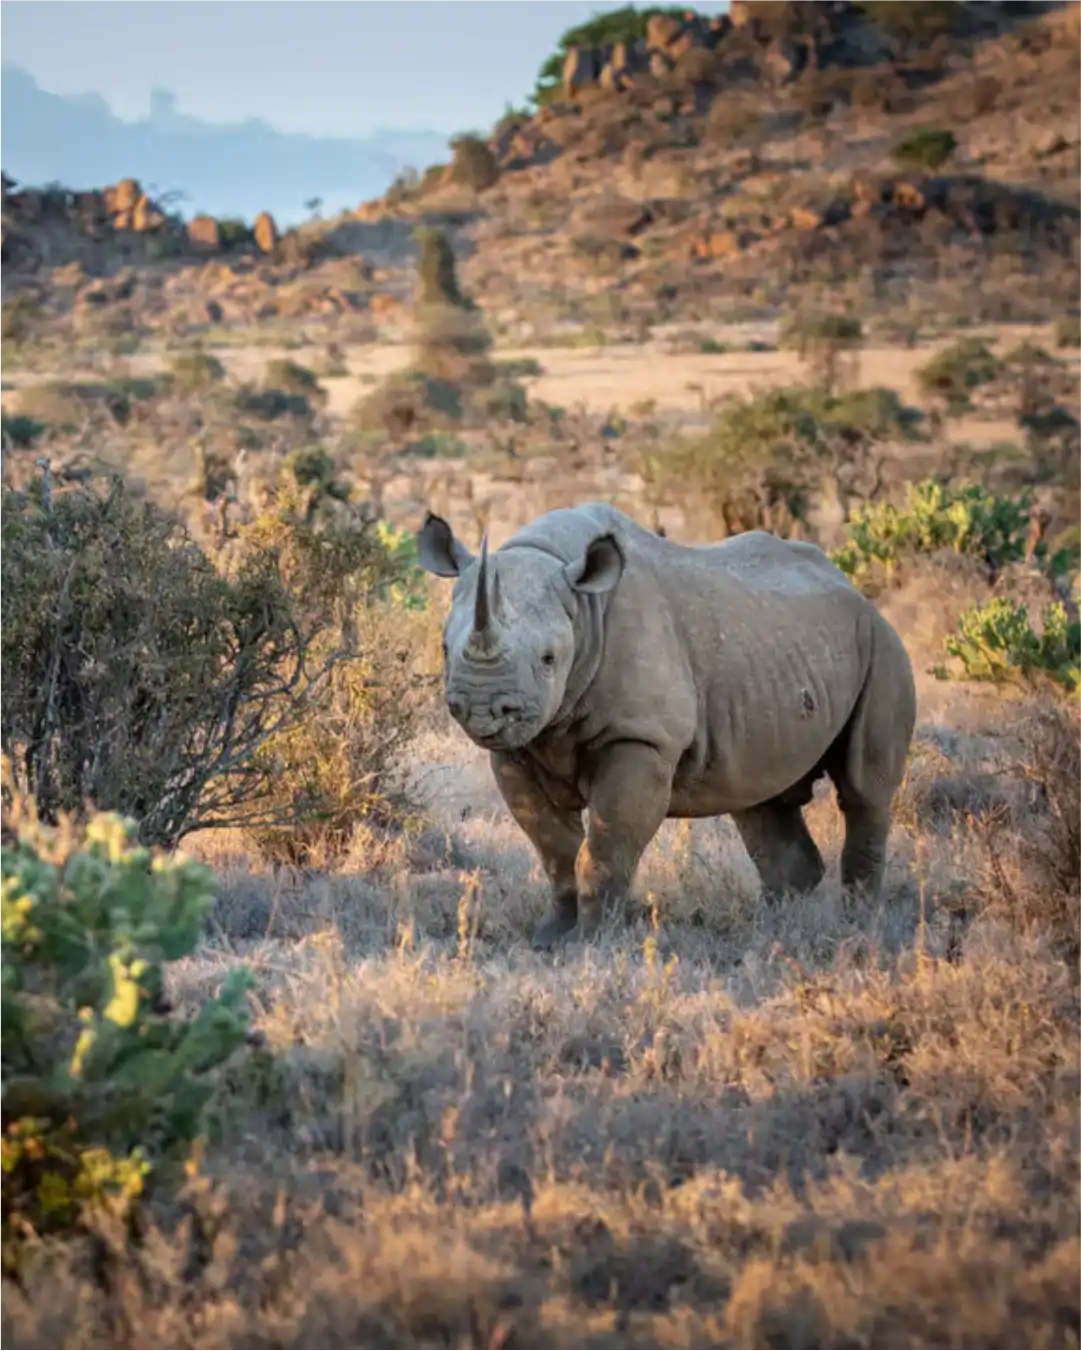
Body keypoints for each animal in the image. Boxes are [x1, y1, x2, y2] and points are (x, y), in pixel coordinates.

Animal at [417, 503, 917, 949]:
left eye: (548, 659)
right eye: (443, 648)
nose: (481, 708)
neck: (578, 605)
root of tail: (854, 589)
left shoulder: (641, 736)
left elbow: (606, 847)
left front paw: (591, 942)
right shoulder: (516, 748)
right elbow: (555, 848)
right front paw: (550, 940)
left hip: (881, 643)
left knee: (863, 789)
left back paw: (856, 925)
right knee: (759, 798)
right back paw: (775, 928)